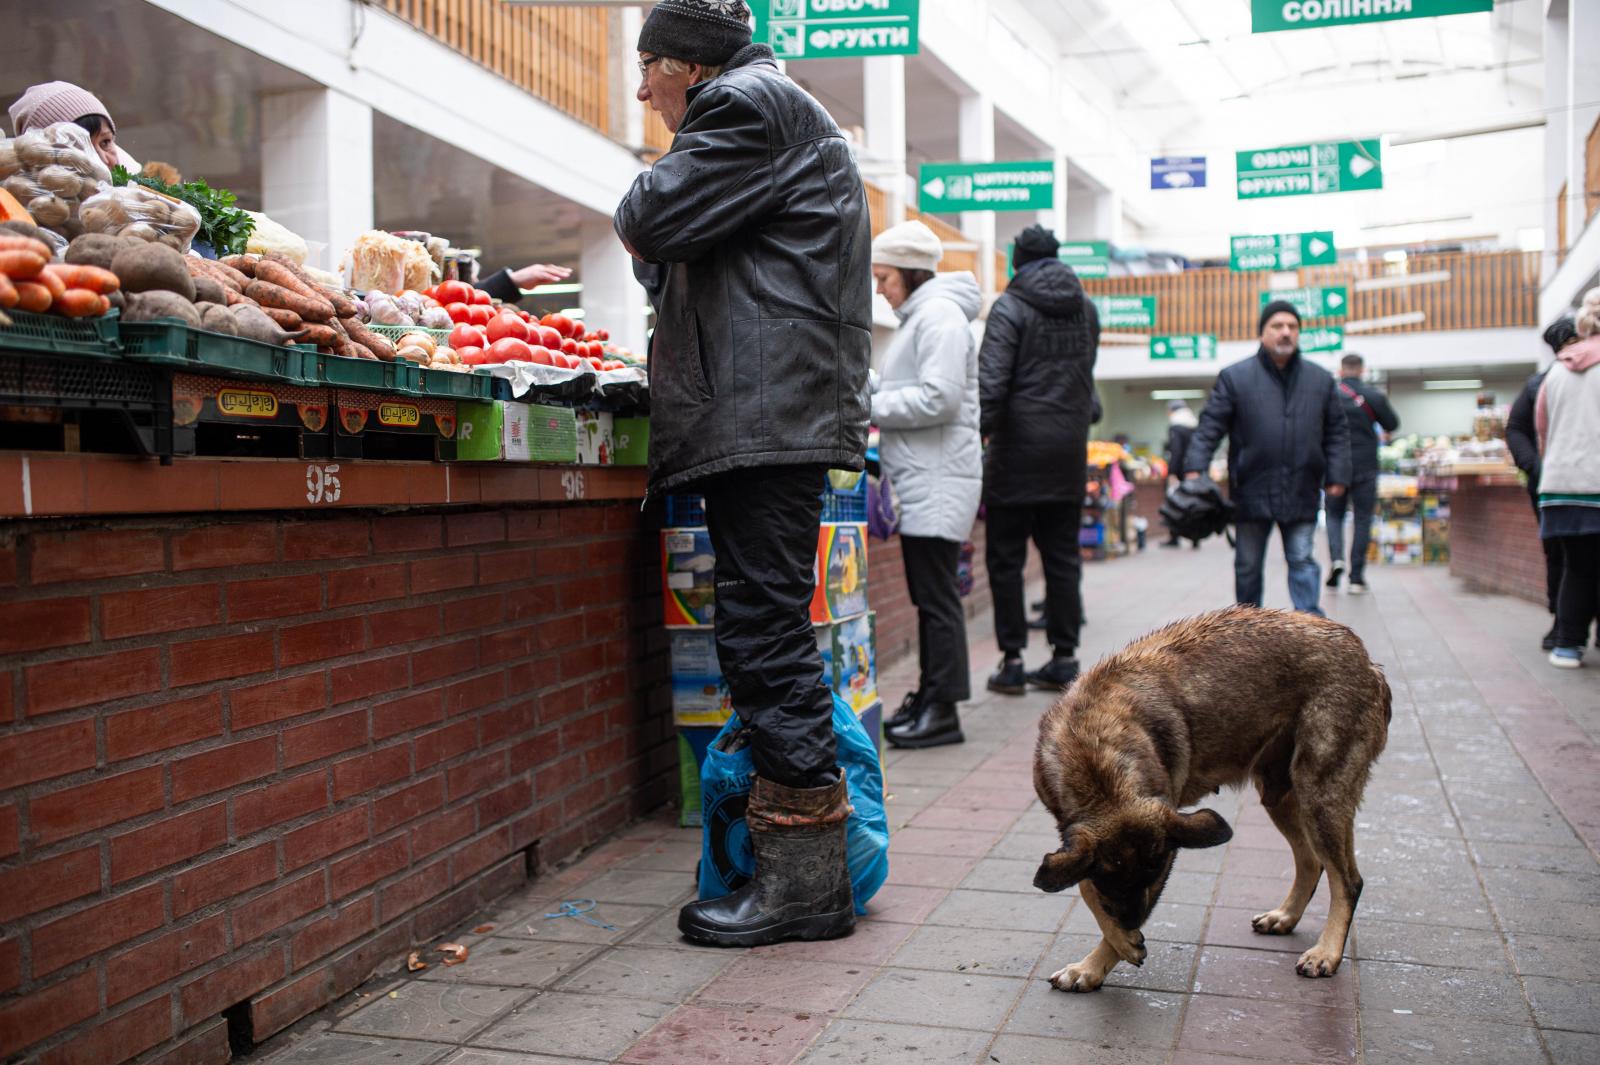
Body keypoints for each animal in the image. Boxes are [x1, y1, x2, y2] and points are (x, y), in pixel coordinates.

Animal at [1030, 610, 1395, 991]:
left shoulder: (1165, 841)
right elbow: (1085, 886)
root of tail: (1368, 662)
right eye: (1111, 884)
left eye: (1153, 876)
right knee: (1312, 862)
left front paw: (1102, 958)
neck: (1095, 753)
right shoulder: (1075, 832)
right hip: (1280, 796)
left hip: (1319, 795)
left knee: (1348, 881)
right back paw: (1285, 916)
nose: (1131, 927)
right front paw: (1106, 951)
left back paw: (1327, 952)